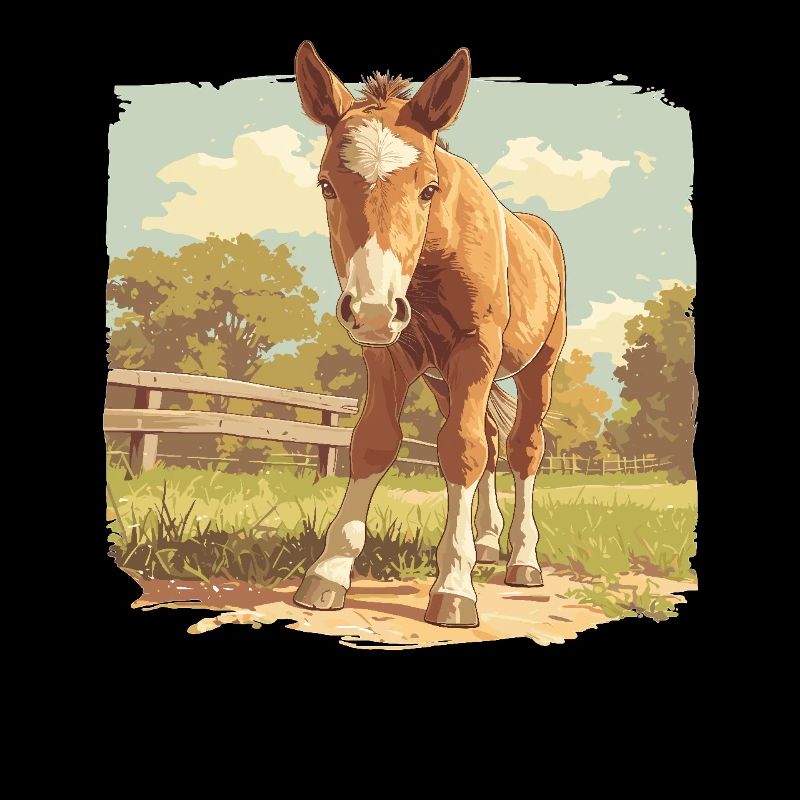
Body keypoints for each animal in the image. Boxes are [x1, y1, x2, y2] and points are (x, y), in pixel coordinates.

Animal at [292, 41, 567, 627]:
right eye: (326, 185)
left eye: (428, 189)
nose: (373, 308)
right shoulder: (390, 355)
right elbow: (375, 442)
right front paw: (328, 574)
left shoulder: (476, 349)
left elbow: (461, 451)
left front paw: (455, 588)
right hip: (444, 379)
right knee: (490, 439)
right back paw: (486, 542)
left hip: (537, 367)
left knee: (522, 447)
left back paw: (522, 560)